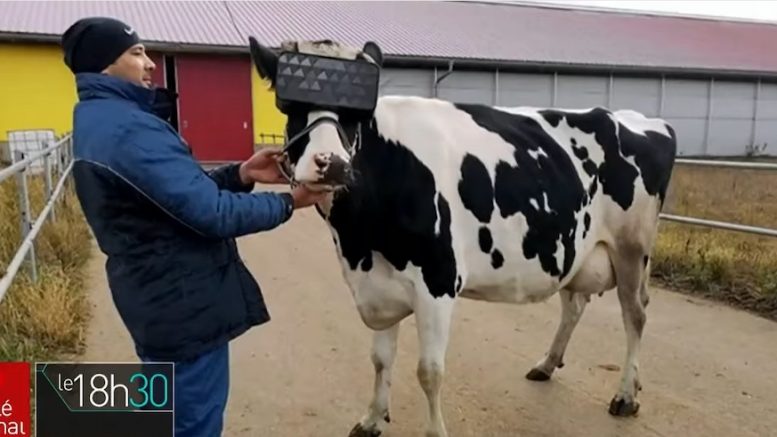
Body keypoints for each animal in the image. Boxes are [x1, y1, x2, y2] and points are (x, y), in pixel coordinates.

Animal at [249, 37, 672, 436]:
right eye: (288, 106)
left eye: (360, 114)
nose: (330, 164)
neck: (359, 242)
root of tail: (642, 120)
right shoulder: (377, 285)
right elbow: (381, 360)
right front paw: (371, 419)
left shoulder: (437, 282)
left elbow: (429, 371)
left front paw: (434, 430)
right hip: (575, 246)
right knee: (576, 305)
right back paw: (548, 365)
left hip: (631, 248)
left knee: (636, 315)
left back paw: (625, 395)